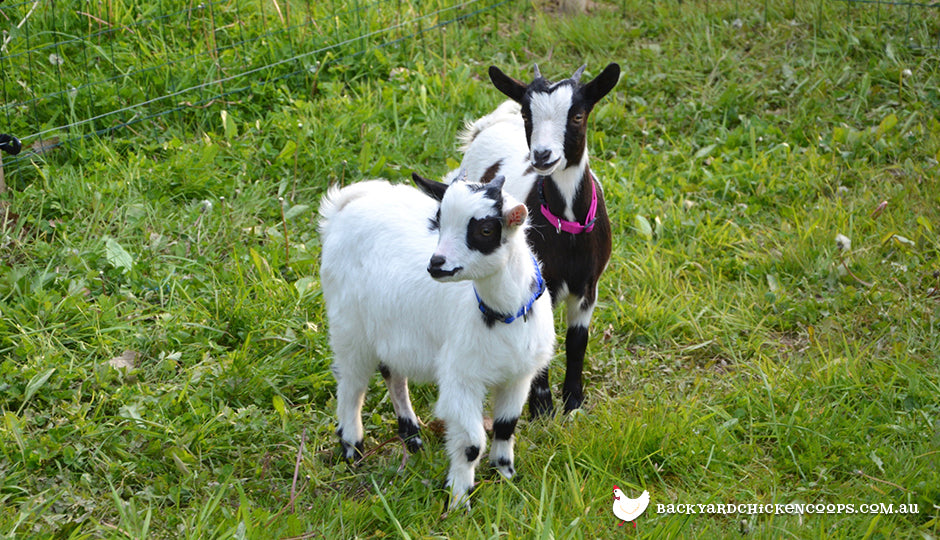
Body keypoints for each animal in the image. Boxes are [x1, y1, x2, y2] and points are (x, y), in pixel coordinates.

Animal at [320, 172, 556, 506]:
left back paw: (412, 437)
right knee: (351, 385)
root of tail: (347, 204)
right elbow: (471, 443)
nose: (436, 263)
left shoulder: (518, 375)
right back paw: (353, 448)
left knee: (392, 373)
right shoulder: (461, 378)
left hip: (391, 327)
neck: (502, 313)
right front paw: (458, 500)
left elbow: (505, 426)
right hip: (348, 324)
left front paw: (506, 477)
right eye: (440, 222)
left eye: (485, 229)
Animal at [450, 63, 624, 418]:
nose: (542, 155)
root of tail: (492, 123)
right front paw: (542, 406)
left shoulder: (589, 286)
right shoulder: (541, 283)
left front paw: (573, 402)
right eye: (528, 115)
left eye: (578, 115)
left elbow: (576, 340)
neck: (567, 227)